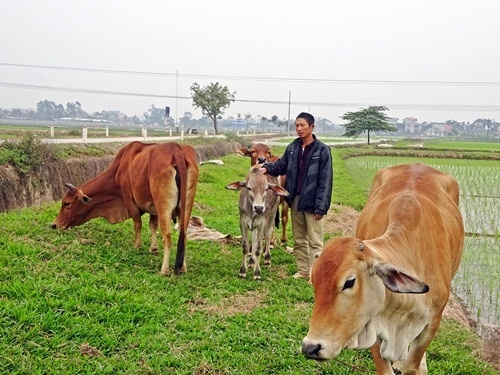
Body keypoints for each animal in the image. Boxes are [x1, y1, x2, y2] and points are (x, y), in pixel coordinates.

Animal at [51, 141, 198, 276]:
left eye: (66, 203)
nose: (54, 225)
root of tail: (176, 150)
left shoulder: (130, 201)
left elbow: (138, 224)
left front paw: (136, 246)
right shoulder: (153, 207)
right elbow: (152, 226)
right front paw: (153, 248)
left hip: (164, 207)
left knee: (167, 236)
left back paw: (165, 270)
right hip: (185, 206)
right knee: (183, 234)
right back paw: (182, 267)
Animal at [300, 164, 464, 375]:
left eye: (349, 282)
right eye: (313, 281)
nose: (311, 347)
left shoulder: (432, 324)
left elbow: (412, 364)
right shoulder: (372, 325)